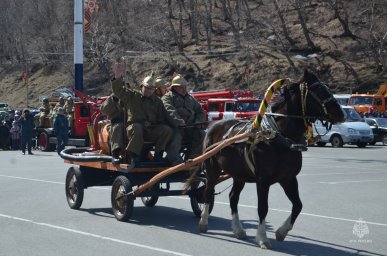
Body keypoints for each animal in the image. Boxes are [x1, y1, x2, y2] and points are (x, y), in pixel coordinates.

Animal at [188, 69, 346, 249]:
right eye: (318, 90)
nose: (341, 113)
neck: (278, 136)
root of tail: (213, 126)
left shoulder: (289, 178)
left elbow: (298, 205)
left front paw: (281, 232)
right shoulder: (263, 180)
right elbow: (263, 207)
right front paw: (263, 237)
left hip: (239, 174)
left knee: (233, 198)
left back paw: (238, 230)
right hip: (212, 170)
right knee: (207, 193)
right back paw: (203, 222)